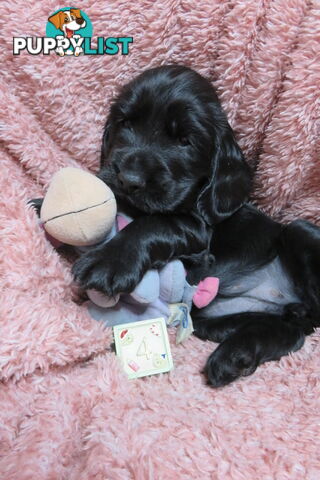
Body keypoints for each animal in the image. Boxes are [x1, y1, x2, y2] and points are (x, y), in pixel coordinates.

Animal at [39, 65, 320, 386]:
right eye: (126, 123)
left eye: (185, 141)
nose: (129, 180)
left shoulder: (198, 233)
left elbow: (154, 223)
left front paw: (110, 262)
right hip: (214, 320)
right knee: (292, 333)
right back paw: (236, 357)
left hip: (299, 230)